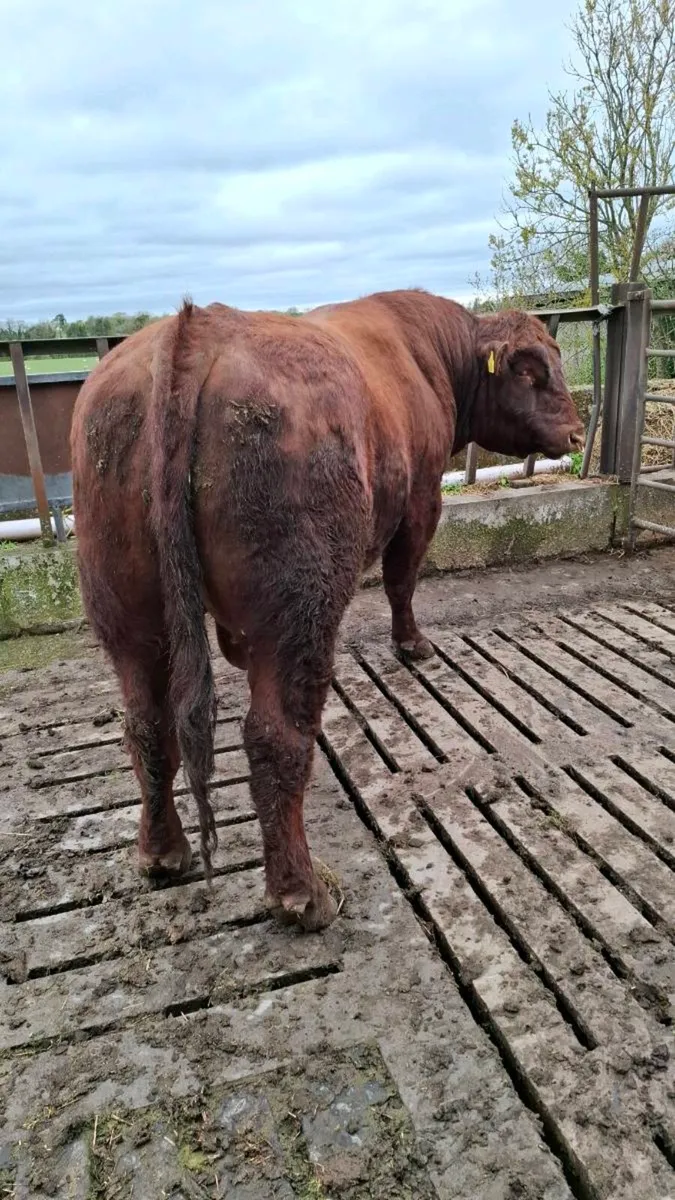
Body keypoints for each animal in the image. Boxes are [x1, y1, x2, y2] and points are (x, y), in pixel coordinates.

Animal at [70, 288, 584, 932]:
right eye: (531, 371)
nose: (577, 433)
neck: (428, 356)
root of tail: (196, 326)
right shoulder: (421, 500)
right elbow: (402, 580)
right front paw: (412, 644)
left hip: (130, 614)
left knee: (148, 724)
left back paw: (163, 853)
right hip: (300, 605)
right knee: (276, 737)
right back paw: (302, 893)